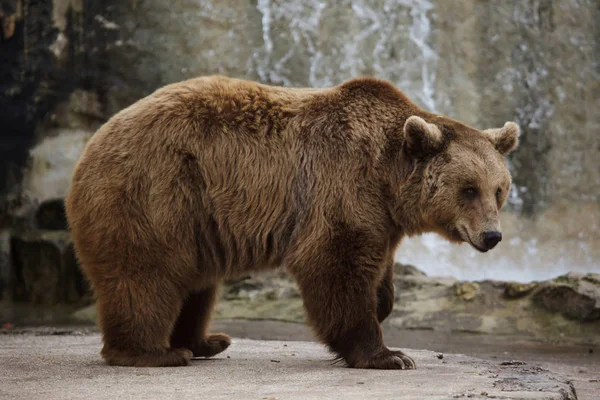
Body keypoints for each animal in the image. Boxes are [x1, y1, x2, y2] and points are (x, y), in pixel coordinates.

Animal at [64, 75, 516, 368]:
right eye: (468, 189)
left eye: (498, 189)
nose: (492, 235)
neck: (387, 178)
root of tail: (92, 145)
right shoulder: (341, 184)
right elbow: (334, 263)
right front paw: (389, 355)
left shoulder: (381, 215)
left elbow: (378, 265)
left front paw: (383, 303)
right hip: (155, 194)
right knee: (145, 276)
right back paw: (154, 352)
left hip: (194, 221)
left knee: (194, 285)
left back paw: (206, 341)